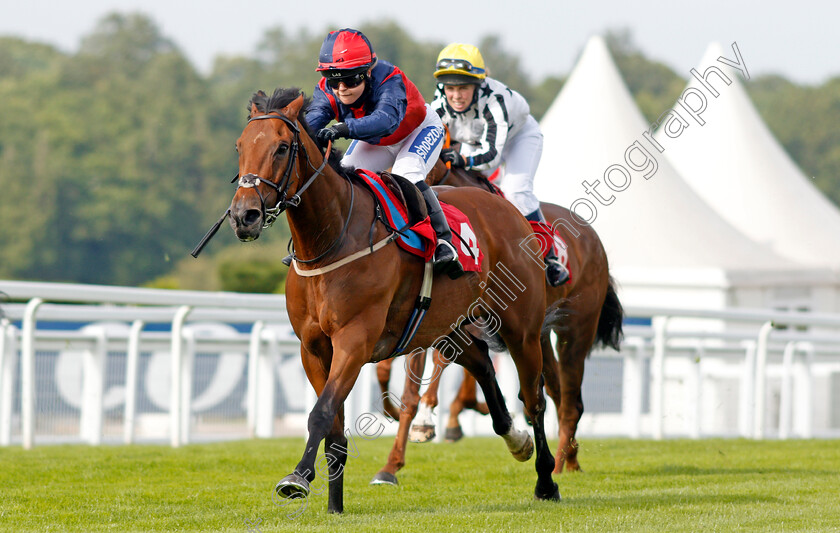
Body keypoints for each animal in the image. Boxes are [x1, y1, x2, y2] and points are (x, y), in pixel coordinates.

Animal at [226, 89, 560, 512]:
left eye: (282, 147)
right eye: (240, 146)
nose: (244, 216)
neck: (330, 240)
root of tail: (510, 210)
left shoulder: (354, 340)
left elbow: (321, 413)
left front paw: (297, 478)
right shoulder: (312, 347)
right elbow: (333, 428)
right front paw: (334, 506)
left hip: (523, 329)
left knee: (534, 398)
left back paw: (547, 480)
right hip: (447, 325)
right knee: (483, 365)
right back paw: (516, 440)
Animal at [374, 159, 624, 482]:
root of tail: (594, 240)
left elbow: (443, 365)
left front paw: (431, 419)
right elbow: (404, 386)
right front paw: (392, 460)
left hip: (575, 329)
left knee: (571, 401)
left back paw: (557, 463)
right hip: (538, 334)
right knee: (556, 391)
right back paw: (569, 457)